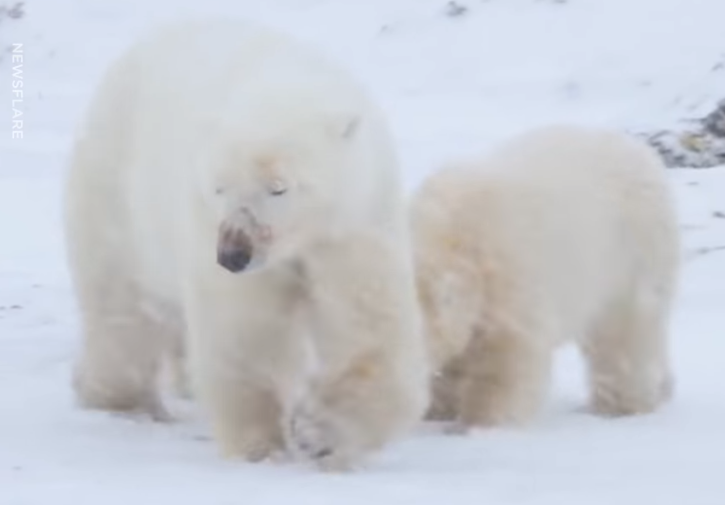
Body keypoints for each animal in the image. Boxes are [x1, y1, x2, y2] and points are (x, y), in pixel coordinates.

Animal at [63, 18, 430, 468]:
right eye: (219, 186)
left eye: (279, 187)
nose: (233, 255)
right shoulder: (209, 225)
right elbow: (245, 330)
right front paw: (262, 445)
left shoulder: (356, 220)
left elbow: (368, 323)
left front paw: (321, 432)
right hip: (116, 194)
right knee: (122, 306)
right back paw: (124, 401)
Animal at [410, 124, 680, 428]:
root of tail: (642, 153)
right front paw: (436, 411)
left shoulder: (509, 279)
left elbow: (506, 361)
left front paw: (484, 423)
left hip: (630, 254)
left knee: (622, 336)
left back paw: (623, 405)